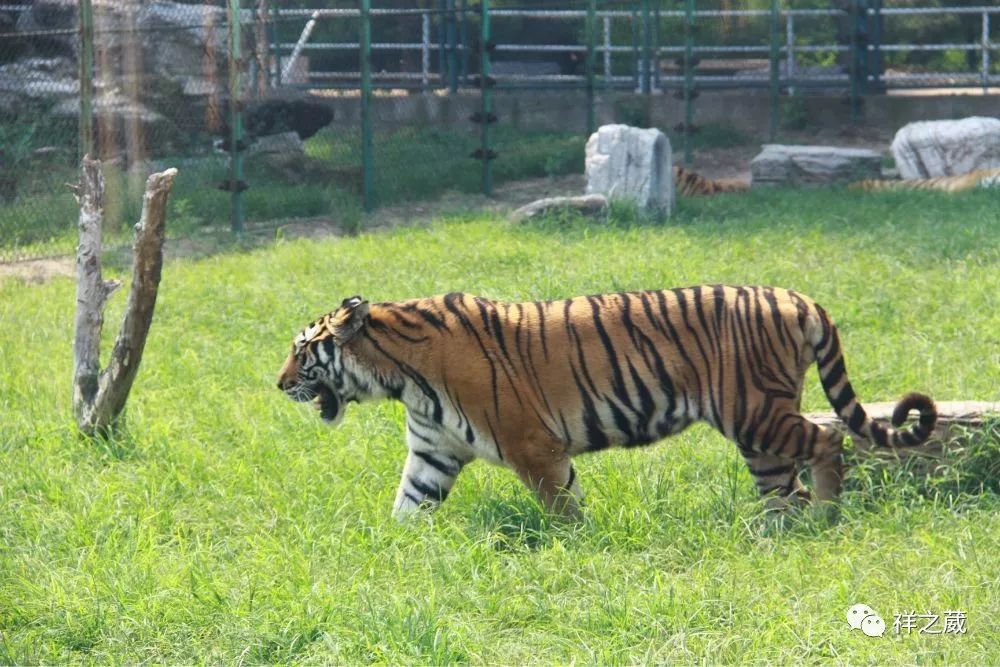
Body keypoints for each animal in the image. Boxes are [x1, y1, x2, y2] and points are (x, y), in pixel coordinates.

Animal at [277, 288, 937, 522]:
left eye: (303, 350)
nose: (278, 384)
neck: (400, 377)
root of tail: (800, 298)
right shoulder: (432, 453)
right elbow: (408, 507)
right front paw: (394, 555)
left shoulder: (532, 447)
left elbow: (562, 506)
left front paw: (574, 548)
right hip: (758, 429)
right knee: (783, 486)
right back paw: (774, 533)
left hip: (754, 412)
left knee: (829, 441)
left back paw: (825, 518)